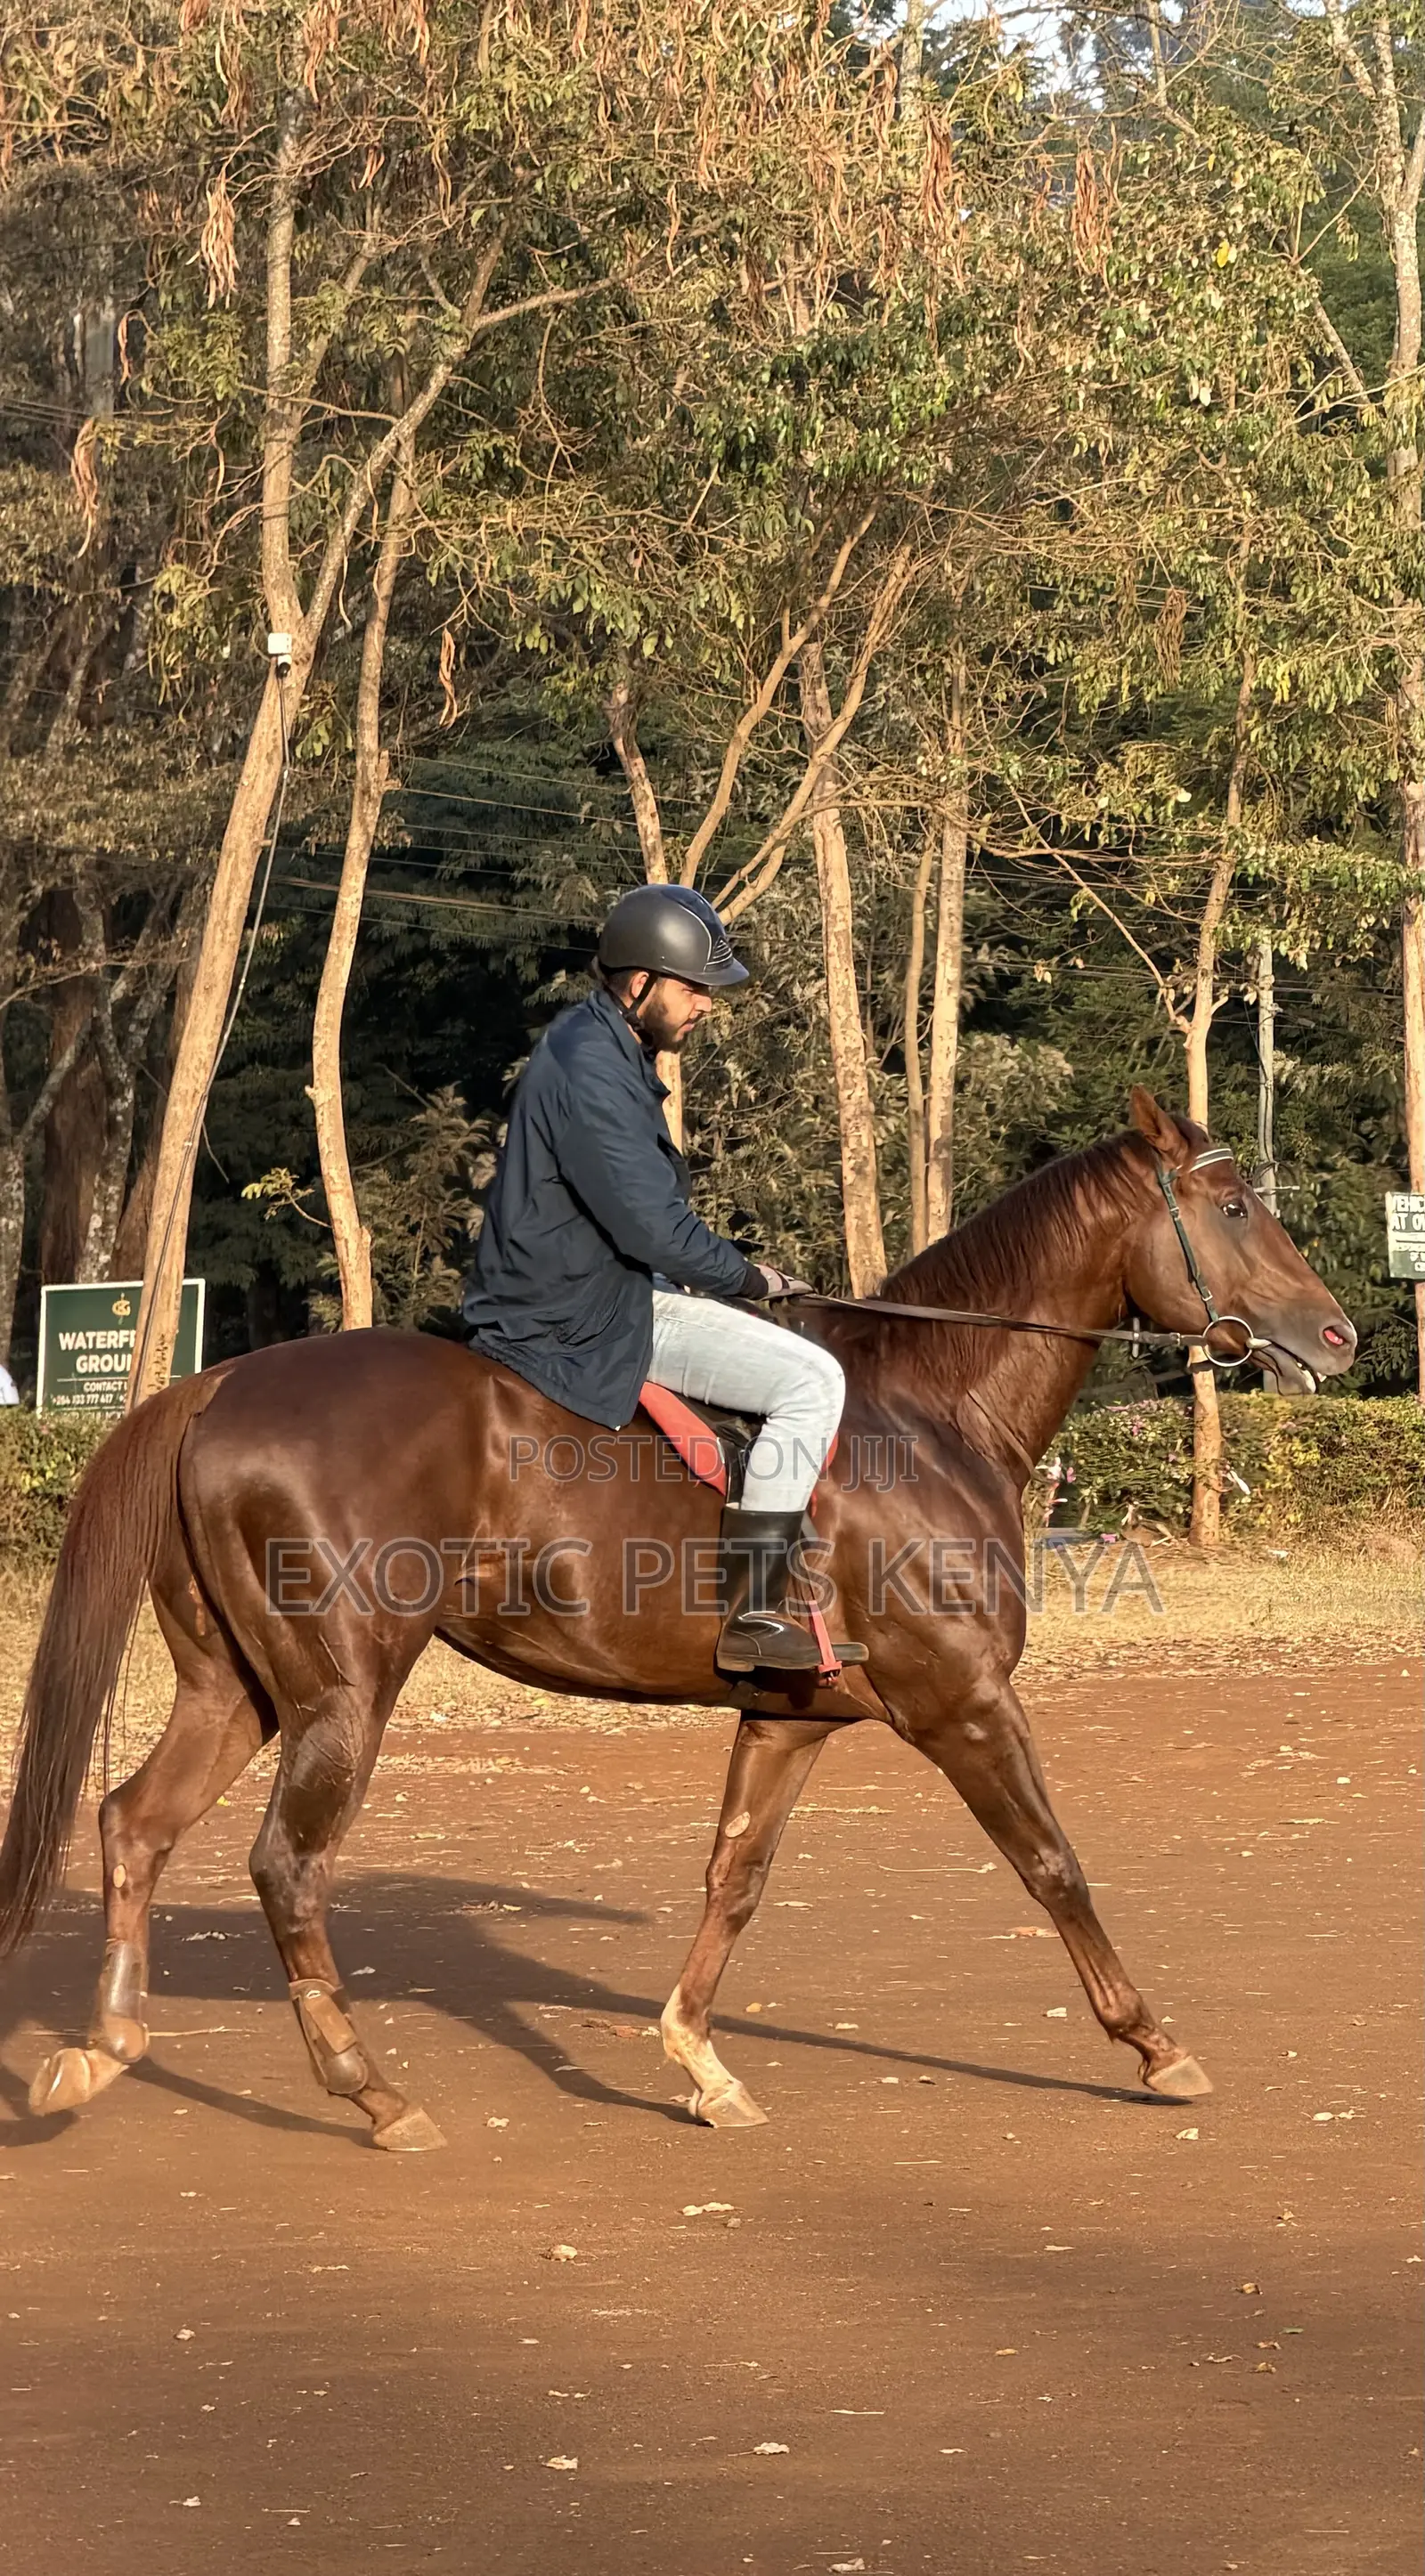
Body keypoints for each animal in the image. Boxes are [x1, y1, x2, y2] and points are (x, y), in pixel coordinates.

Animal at [0, 1089, 1354, 2150]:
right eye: (1235, 1209)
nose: (1337, 1333)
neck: (926, 1408)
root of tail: (218, 1382)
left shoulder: (793, 1719)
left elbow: (734, 1878)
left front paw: (699, 2058)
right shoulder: (965, 1705)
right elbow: (1052, 1863)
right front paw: (1153, 2044)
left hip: (237, 1688)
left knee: (133, 1824)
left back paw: (105, 2044)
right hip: (339, 1695)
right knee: (286, 1865)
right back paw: (370, 2092)